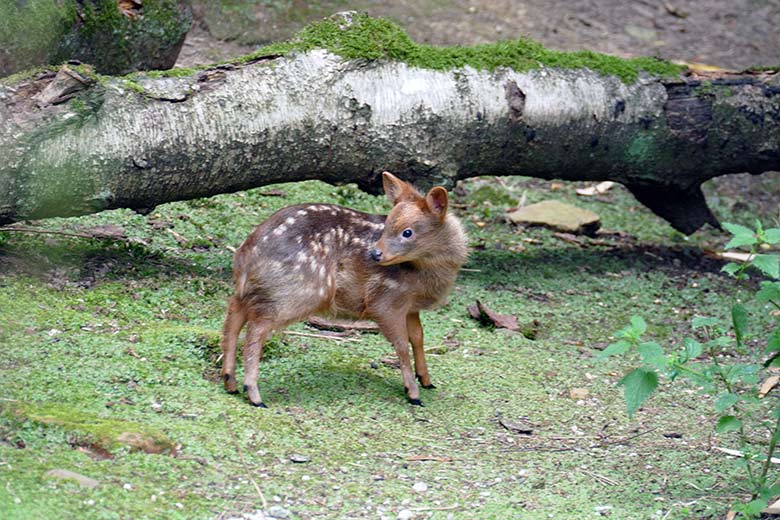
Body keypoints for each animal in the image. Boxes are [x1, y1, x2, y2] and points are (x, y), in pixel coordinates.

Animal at [219, 171, 466, 406]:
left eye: (407, 232)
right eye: (387, 226)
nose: (375, 253)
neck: (425, 275)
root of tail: (246, 253)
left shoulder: (411, 307)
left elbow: (418, 337)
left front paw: (426, 379)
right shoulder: (386, 300)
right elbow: (402, 345)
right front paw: (413, 393)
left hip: (261, 288)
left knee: (234, 311)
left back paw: (230, 382)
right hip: (301, 291)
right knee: (256, 327)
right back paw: (253, 394)